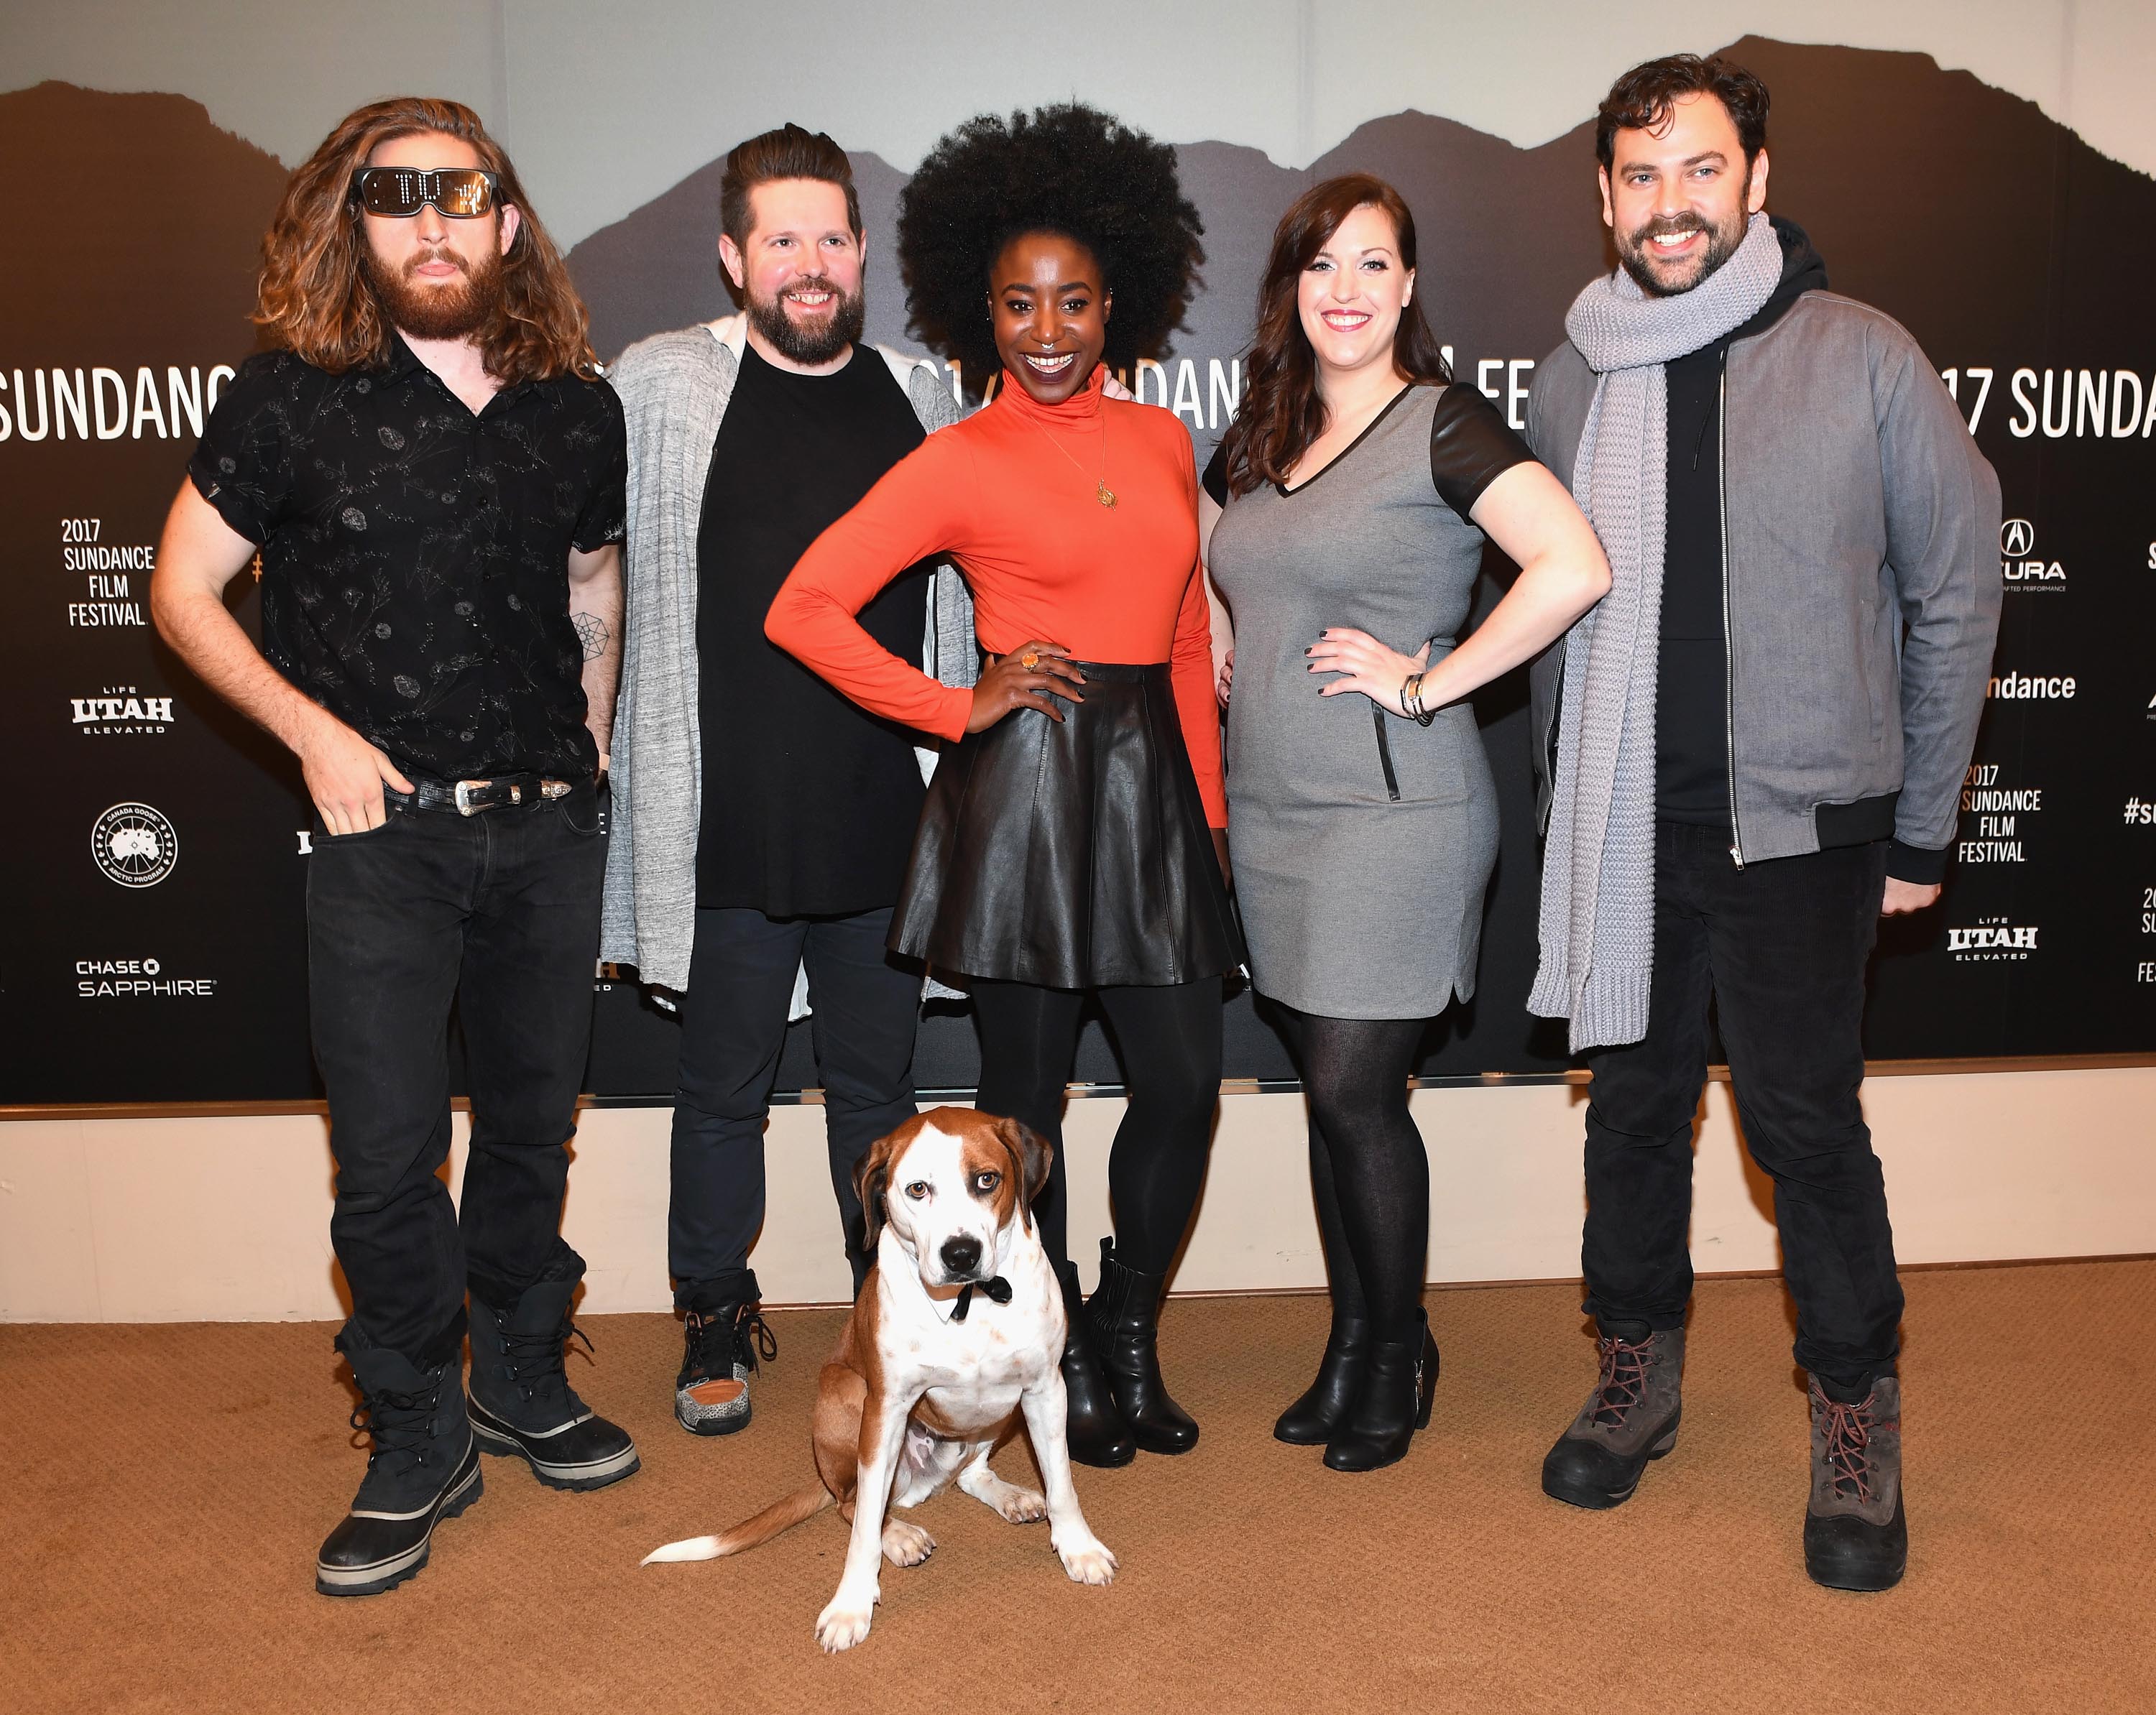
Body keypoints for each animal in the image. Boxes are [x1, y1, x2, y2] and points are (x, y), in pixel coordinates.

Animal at [638, 1103, 1121, 1655]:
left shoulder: (1044, 1390)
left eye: (987, 1179)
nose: (961, 1254)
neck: (971, 1301)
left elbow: (1062, 1482)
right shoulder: (887, 1408)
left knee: (969, 1472)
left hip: (998, 1415)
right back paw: (900, 1533)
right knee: (853, 1504)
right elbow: (864, 1530)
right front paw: (851, 1604)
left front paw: (1079, 1547)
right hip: (847, 1395)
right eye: (917, 1189)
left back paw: (1009, 1496)